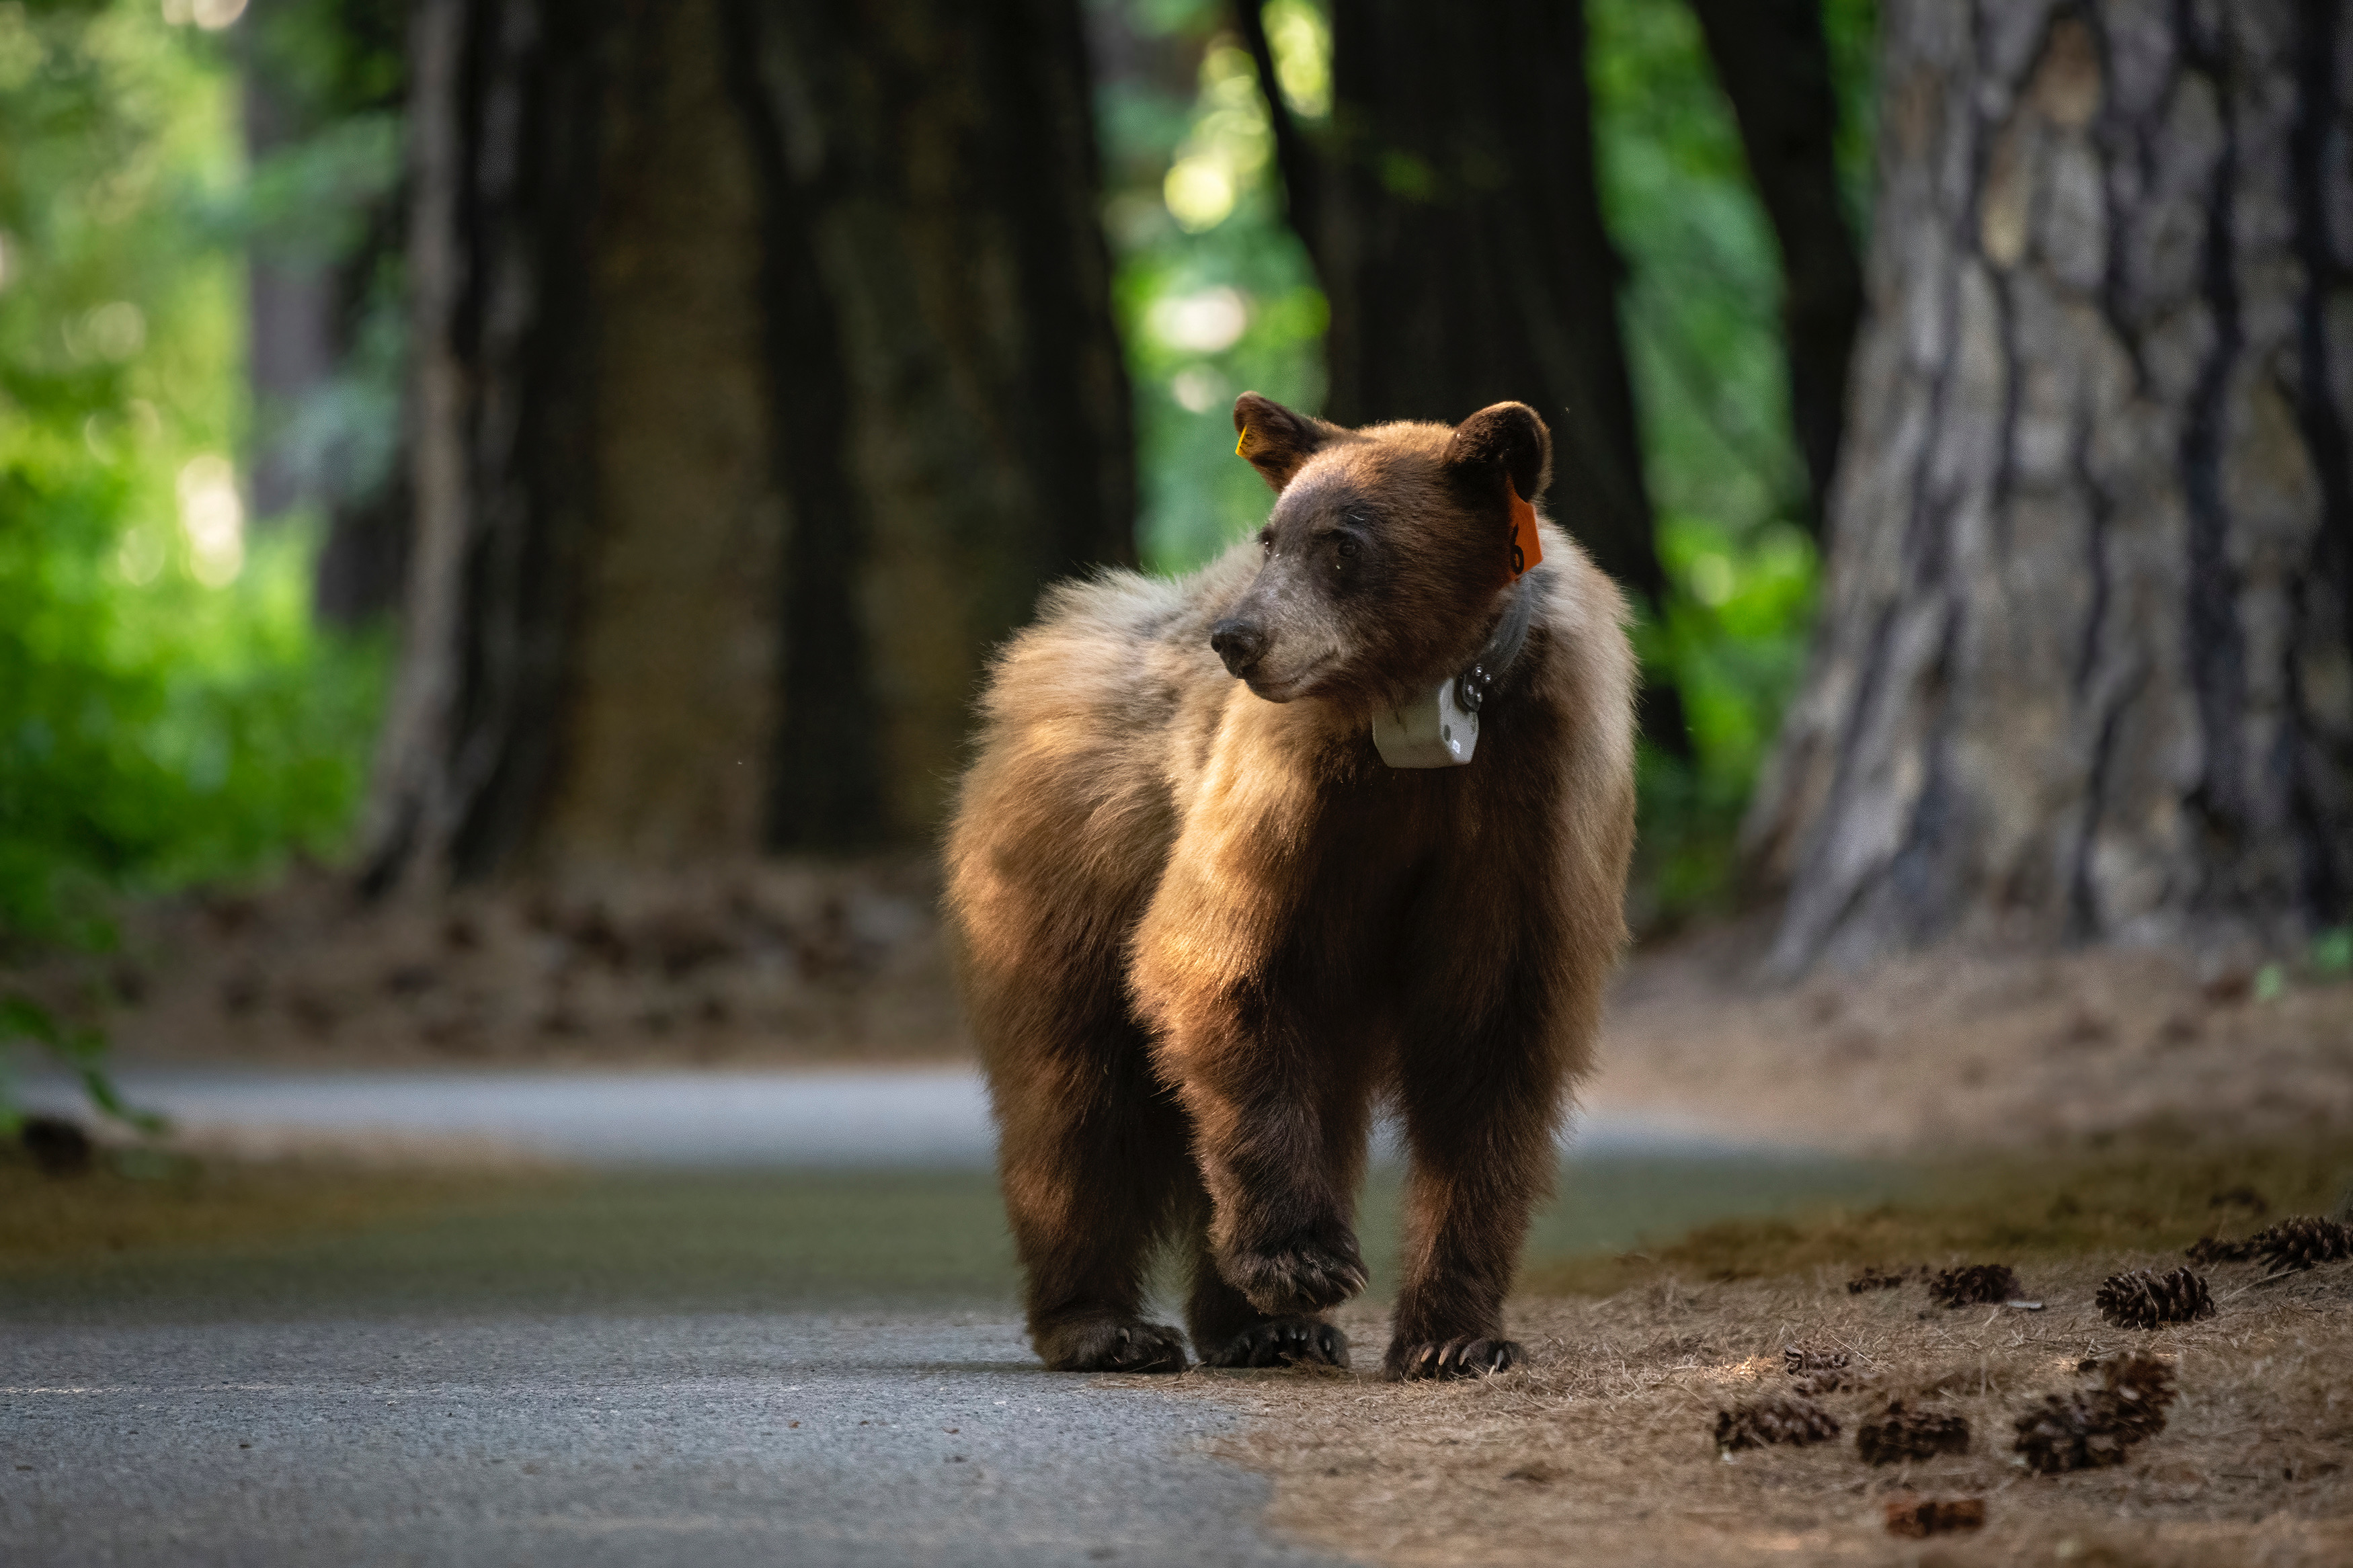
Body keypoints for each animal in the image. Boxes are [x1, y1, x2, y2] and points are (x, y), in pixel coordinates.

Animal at [944, 392, 1637, 1379]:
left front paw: (1456, 1335)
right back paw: (1107, 1324)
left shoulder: (1532, 805)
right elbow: (1213, 961)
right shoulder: (1292, 790)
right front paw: (1301, 1260)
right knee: (1077, 1103)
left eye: (1343, 544)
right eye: (1270, 538)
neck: (1418, 726)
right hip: (1062, 875)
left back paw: (1267, 1329)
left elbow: (1493, 1045)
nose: (1236, 639)